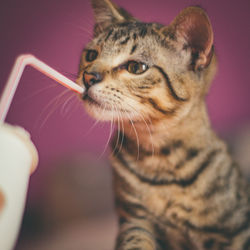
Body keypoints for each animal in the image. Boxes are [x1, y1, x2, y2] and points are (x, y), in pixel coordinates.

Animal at [76, 0, 250, 249]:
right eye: (91, 55)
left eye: (136, 67)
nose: (88, 77)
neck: (159, 157)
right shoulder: (134, 220)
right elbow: (135, 242)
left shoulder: (236, 231)